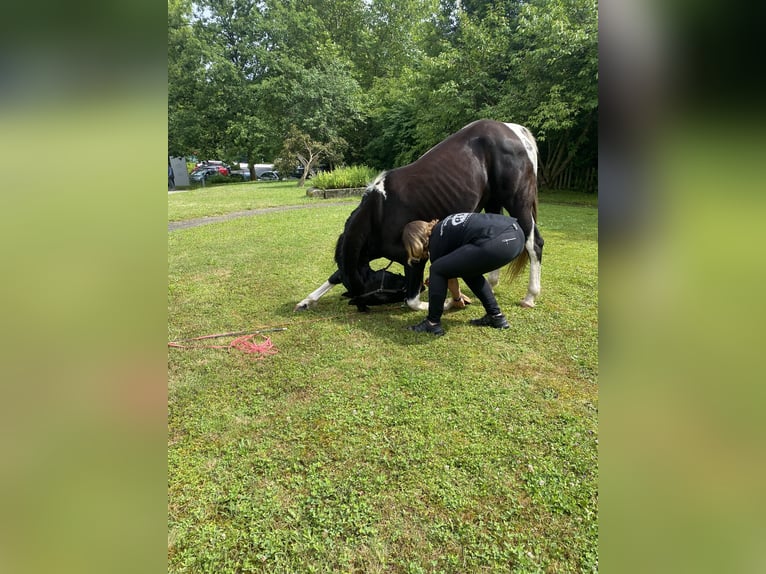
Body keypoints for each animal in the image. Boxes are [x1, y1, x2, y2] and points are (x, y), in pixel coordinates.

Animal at [294, 119, 544, 312]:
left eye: (381, 296)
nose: (424, 287)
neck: (378, 213)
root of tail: (515, 131)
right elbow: (335, 275)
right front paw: (307, 300)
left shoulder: (416, 258)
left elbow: (412, 301)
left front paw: (447, 303)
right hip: (493, 203)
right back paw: (490, 284)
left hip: (517, 202)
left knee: (534, 244)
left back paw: (530, 296)